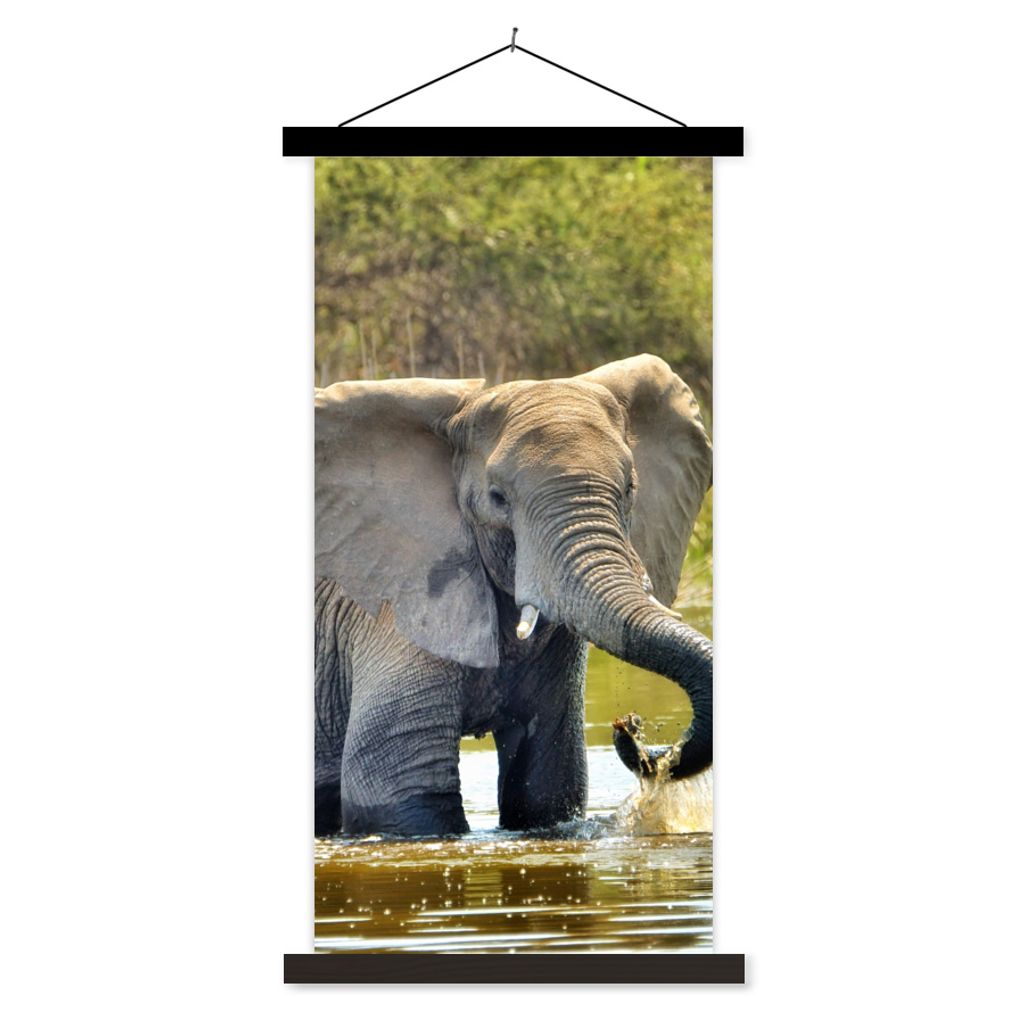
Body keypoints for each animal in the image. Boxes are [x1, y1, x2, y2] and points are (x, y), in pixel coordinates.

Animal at [314, 353, 713, 837]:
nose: (629, 726)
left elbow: (546, 787)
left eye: (630, 488)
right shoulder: (392, 603)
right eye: (497, 498)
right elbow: (402, 793)